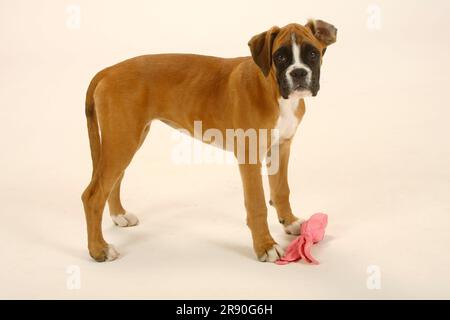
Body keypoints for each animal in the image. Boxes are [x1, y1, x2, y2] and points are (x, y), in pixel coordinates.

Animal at [81, 21, 338, 264]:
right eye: (280, 57)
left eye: (312, 53)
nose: (298, 73)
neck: (273, 89)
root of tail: (109, 70)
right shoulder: (249, 156)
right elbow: (257, 204)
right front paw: (266, 246)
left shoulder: (281, 147)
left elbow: (281, 189)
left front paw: (290, 222)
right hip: (123, 140)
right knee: (93, 195)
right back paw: (99, 250)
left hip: (127, 138)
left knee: (114, 180)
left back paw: (119, 215)